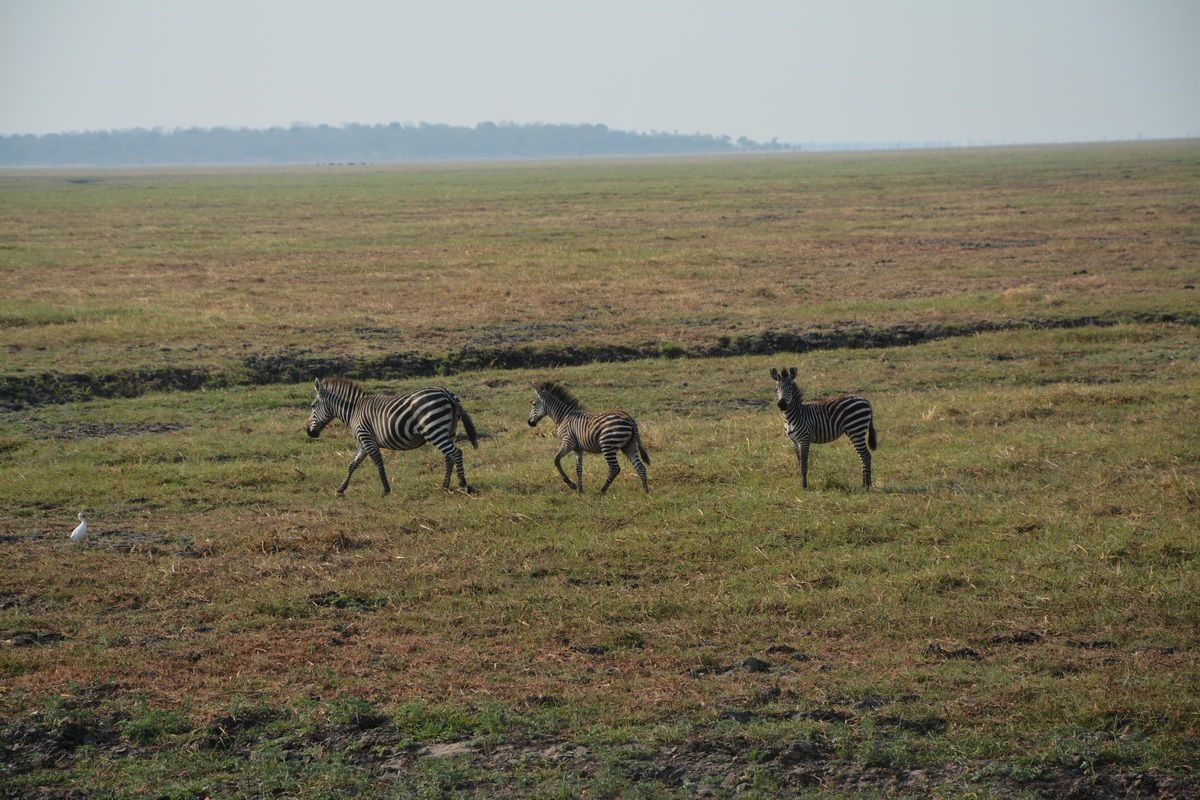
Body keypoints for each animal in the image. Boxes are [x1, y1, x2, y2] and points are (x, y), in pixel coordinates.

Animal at [304, 376, 477, 494]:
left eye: (312, 406)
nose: (309, 432)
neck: (354, 411)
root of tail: (446, 393)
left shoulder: (367, 439)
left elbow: (378, 462)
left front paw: (386, 489)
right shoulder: (363, 443)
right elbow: (352, 465)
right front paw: (341, 488)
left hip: (434, 429)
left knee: (456, 453)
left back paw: (463, 484)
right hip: (447, 431)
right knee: (449, 456)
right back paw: (445, 486)